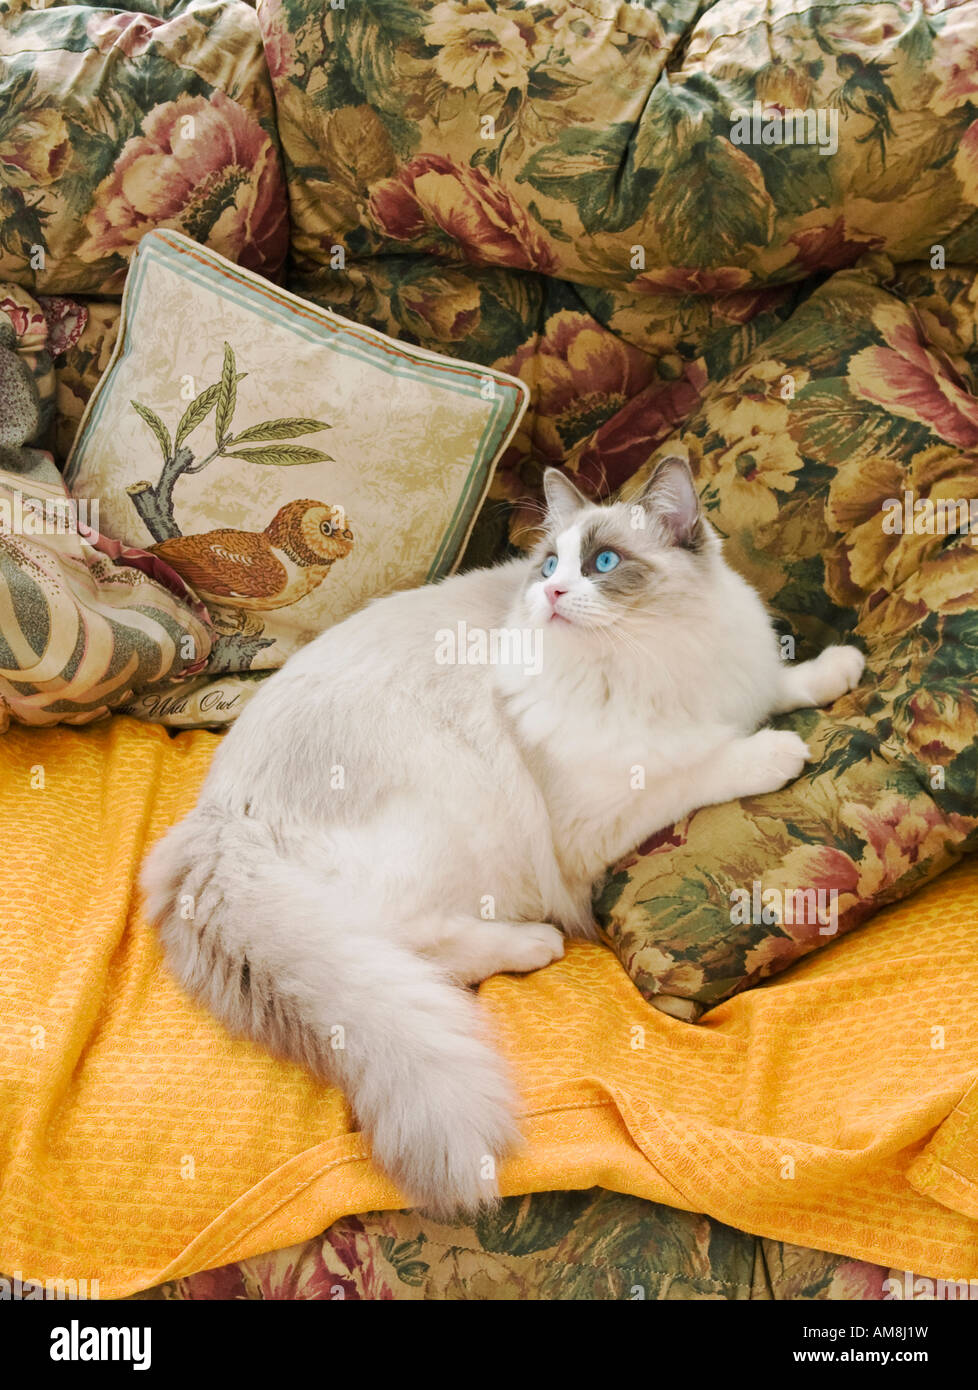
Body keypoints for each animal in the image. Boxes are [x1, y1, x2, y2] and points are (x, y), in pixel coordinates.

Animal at [139, 458, 861, 1217]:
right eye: (549, 564)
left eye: (603, 563)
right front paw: (778, 752)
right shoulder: (598, 818)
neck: (654, 666)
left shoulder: (736, 684)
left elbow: (778, 686)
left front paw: (840, 669)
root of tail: (214, 823)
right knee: (411, 947)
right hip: (454, 809)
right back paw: (532, 945)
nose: (551, 592)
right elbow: (707, 764)